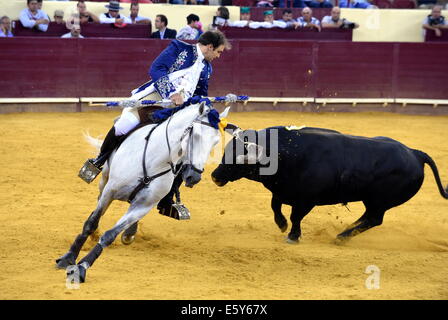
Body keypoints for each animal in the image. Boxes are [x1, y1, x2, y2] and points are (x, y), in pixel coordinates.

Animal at [56, 100, 231, 282]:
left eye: (216, 142)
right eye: (195, 135)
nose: (194, 177)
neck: (156, 160)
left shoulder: (143, 206)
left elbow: (110, 235)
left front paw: (82, 267)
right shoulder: (110, 191)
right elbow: (91, 222)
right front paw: (68, 258)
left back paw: (129, 233)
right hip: (104, 180)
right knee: (97, 205)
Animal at [211, 126, 448, 244]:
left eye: (239, 159)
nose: (215, 176)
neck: (287, 154)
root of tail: (415, 153)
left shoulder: (307, 200)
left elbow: (296, 216)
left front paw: (292, 236)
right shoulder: (281, 191)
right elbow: (275, 207)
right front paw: (281, 225)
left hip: (380, 201)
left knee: (374, 219)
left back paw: (342, 237)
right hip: (370, 200)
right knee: (367, 217)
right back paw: (346, 231)